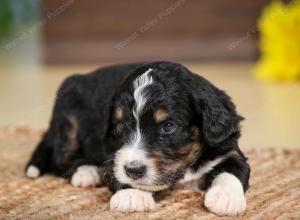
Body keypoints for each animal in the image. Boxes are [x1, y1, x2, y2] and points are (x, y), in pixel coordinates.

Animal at [25, 62, 251, 217]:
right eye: (118, 127)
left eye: (168, 126)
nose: (133, 170)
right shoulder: (112, 155)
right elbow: (115, 169)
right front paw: (132, 195)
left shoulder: (226, 147)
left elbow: (233, 170)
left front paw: (225, 197)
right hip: (67, 113)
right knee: (60, 155)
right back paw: (87, 172)